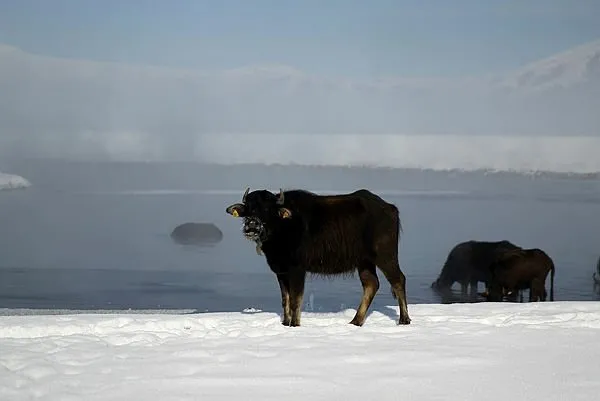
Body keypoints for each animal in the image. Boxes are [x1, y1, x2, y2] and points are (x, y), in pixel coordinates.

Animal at [225, 186, 412, 326]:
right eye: (249, 208)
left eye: (267, 208)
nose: (252, 225)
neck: (282, 228)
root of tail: (390, 208)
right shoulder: (281, 270)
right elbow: (285, 299)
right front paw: (285, 323)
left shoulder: (297, 269)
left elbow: (295, 299)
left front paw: (294, 324)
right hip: (364, 261)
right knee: (371, 284)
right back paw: (356, 321)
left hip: (385, 255)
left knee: (398, 280)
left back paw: (404, 319)